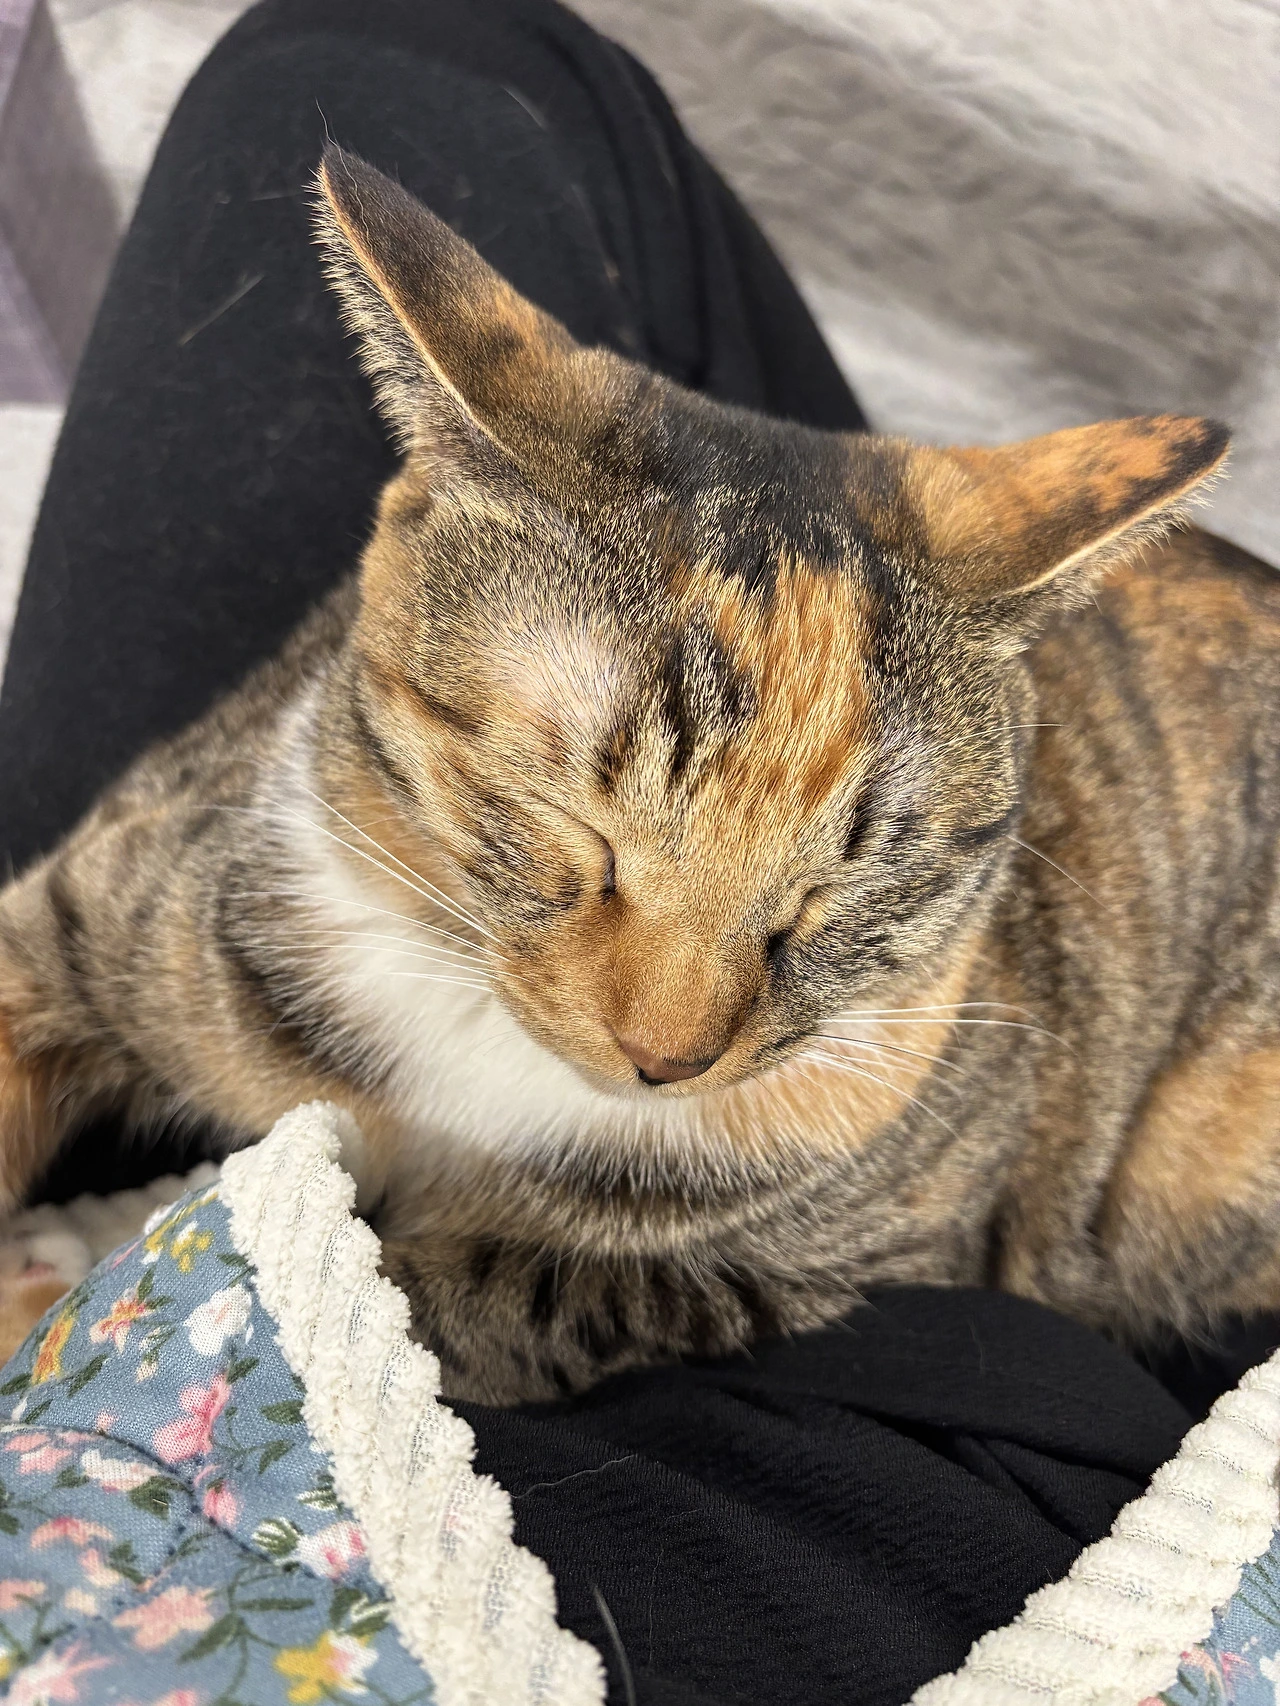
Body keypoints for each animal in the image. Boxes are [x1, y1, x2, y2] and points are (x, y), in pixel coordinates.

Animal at [0, 143, 1274, 1404]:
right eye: (576, 827)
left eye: (835, 896)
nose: (669, 1059)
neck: (473, 1036)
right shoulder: (137, 874)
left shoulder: (860, 1249)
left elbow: (455, 1295)